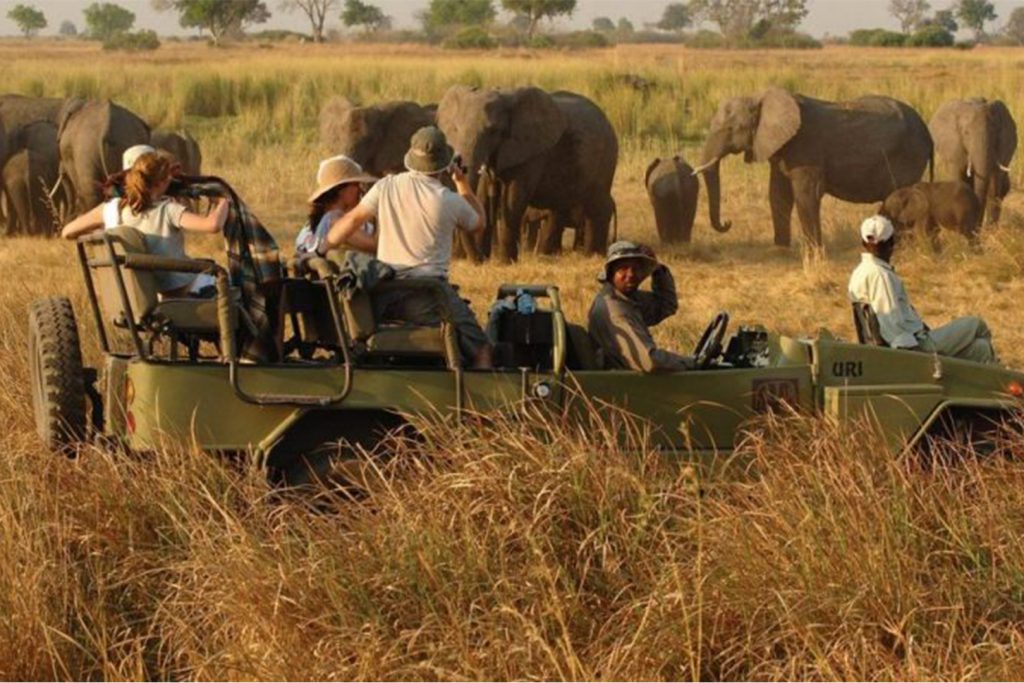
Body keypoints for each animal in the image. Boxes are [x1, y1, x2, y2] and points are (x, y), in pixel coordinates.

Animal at [437, 85, 618, 262]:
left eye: (493, 131)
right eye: (455, 129)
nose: (480, 259)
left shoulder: (530, 153)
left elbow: (513, 198)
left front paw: (505, 263)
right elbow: (482, 196)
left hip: (606, 156)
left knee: (597, 204)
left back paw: (594, 256)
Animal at [696, 87, 933, 249]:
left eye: (730, 129)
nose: (727, 222)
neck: (759, 97)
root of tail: (927, 132)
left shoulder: (806, 149)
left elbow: (806, 195)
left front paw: (814, 253)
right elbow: (778, 195)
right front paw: (781, 249)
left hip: (909, 156)